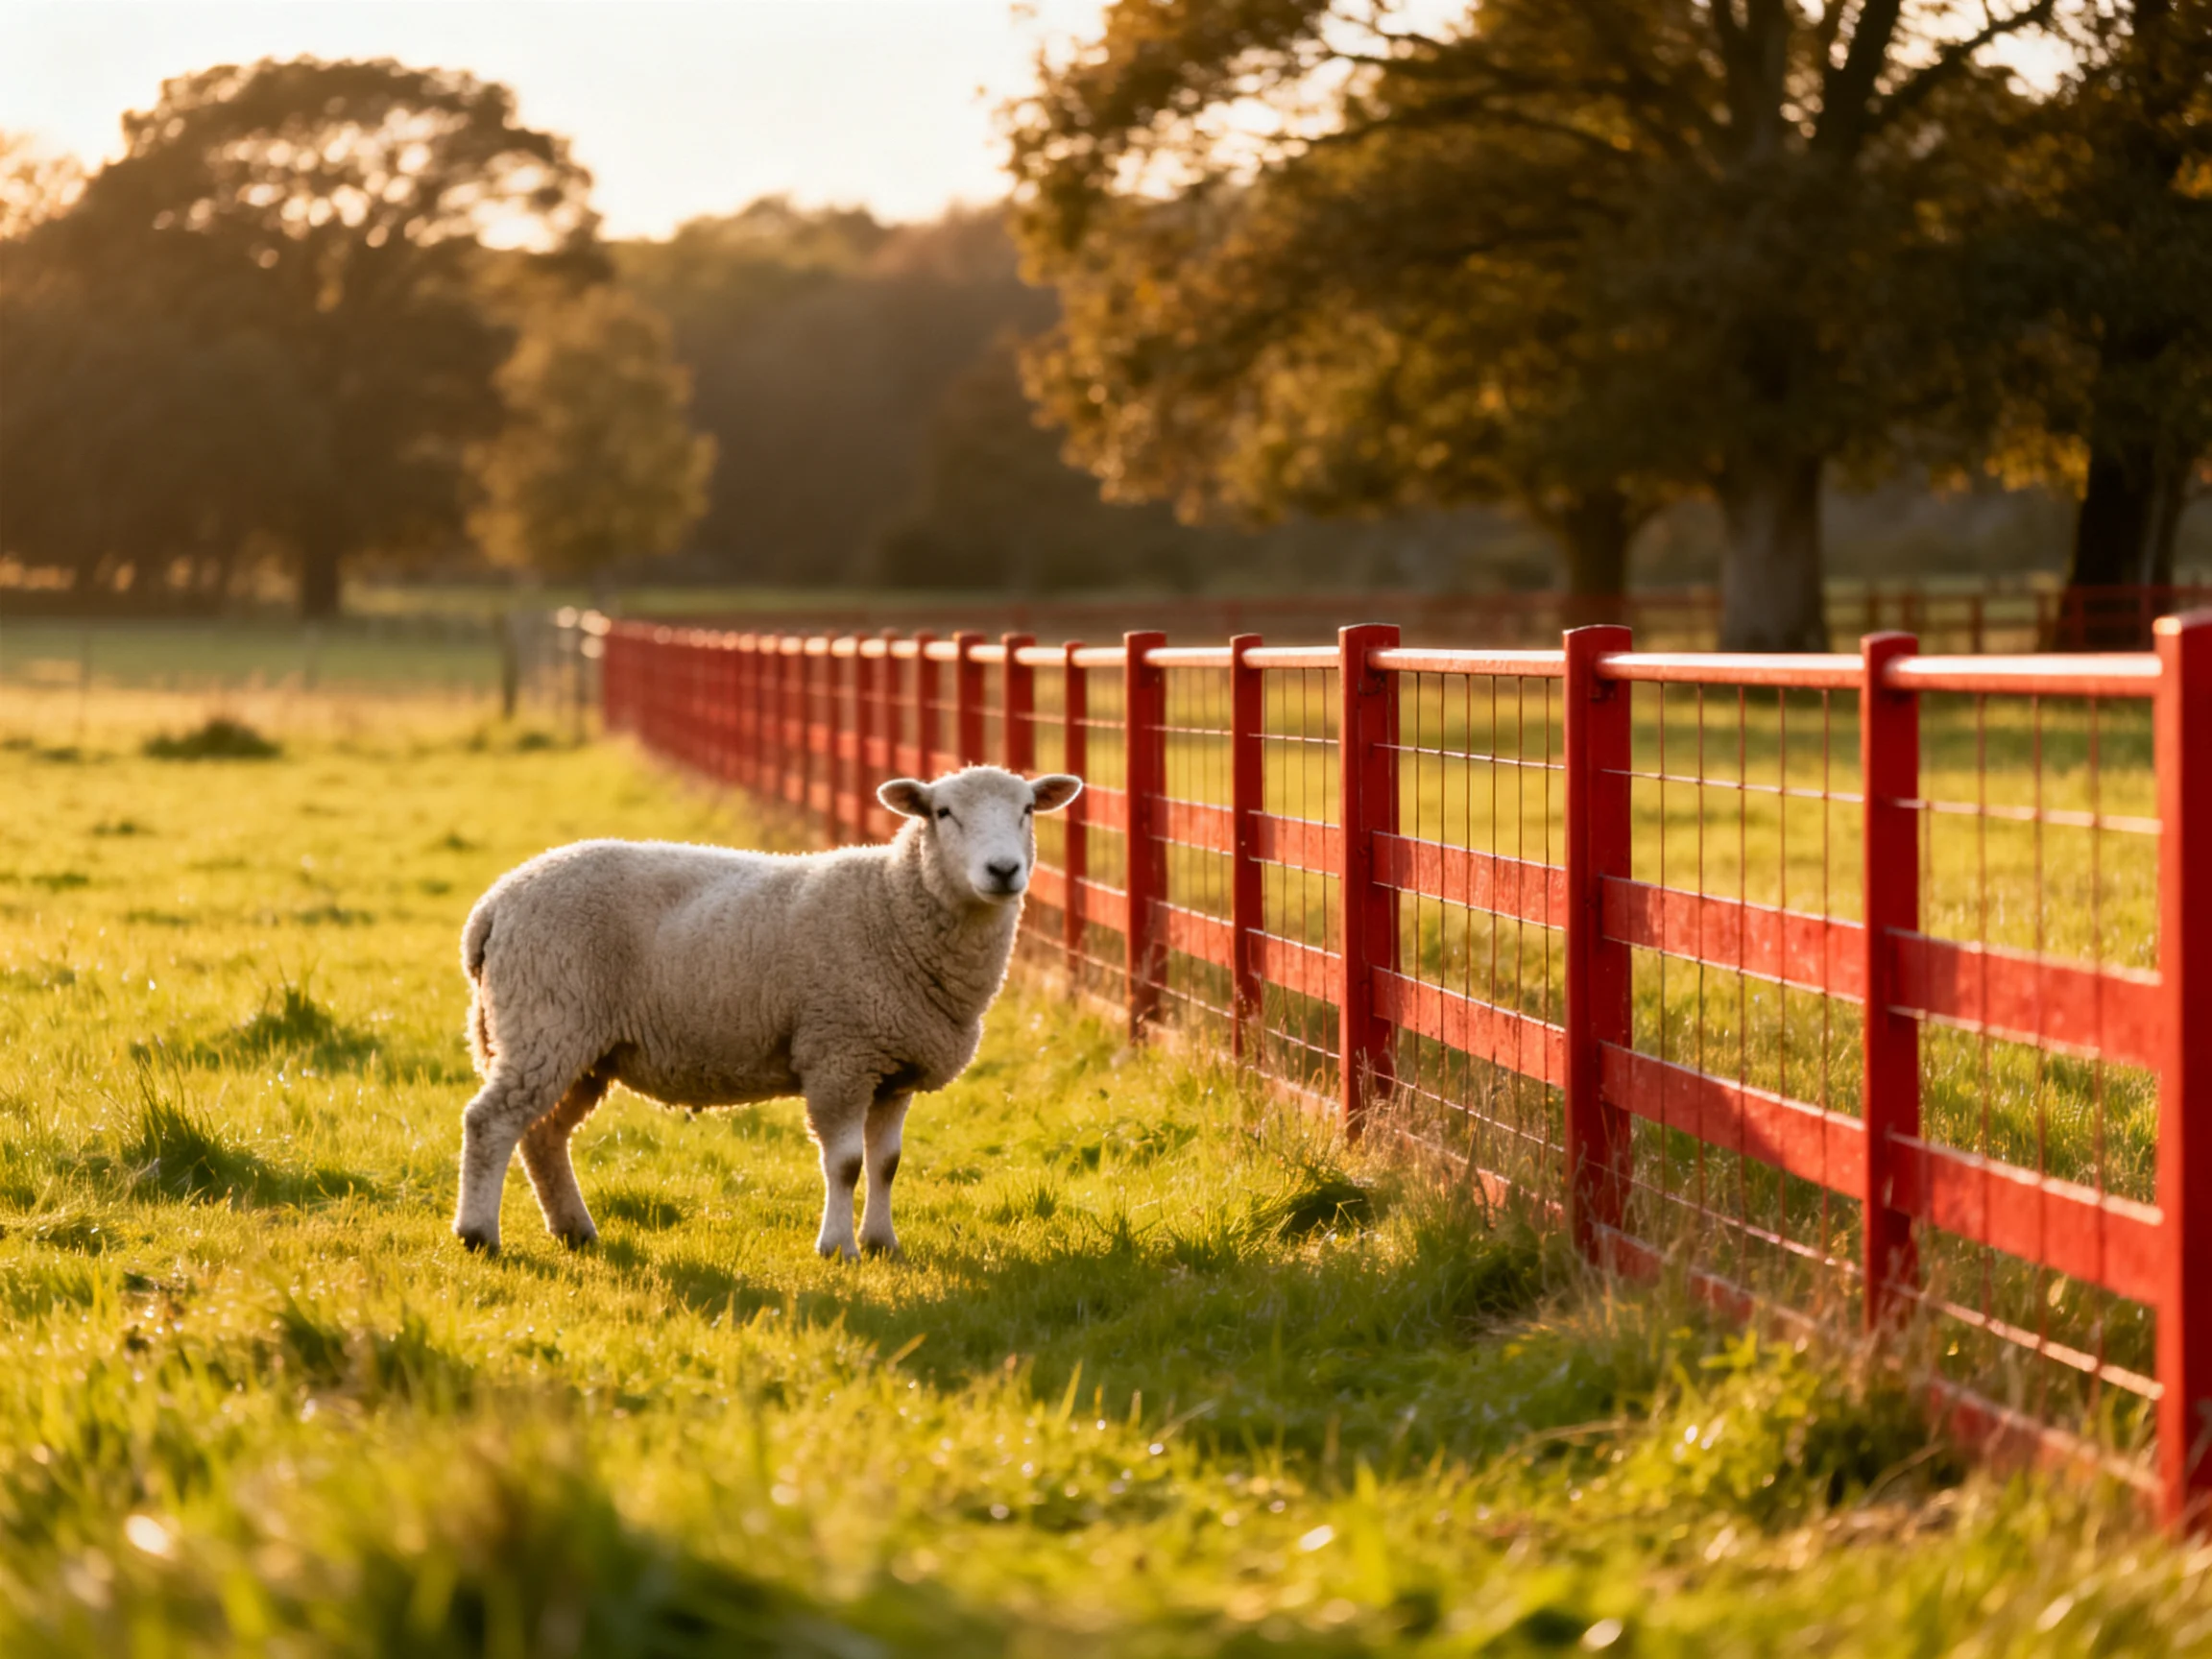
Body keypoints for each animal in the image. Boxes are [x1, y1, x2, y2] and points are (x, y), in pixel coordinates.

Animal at [450, 765, 1084, 1259]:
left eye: (1028, 809)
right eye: (944, 812)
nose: (1003, 870)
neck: (894, 904)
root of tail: (495, 902)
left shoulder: (892, 1068)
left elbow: (886, 1163)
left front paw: (882, 1244)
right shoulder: (839, 1055)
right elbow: (846, 1163)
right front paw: (838, 1249)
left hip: (580, 1045)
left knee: (543, 1135)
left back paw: (574, 1230)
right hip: (545, 1019)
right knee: (490, 1122)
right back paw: (479, 1234)